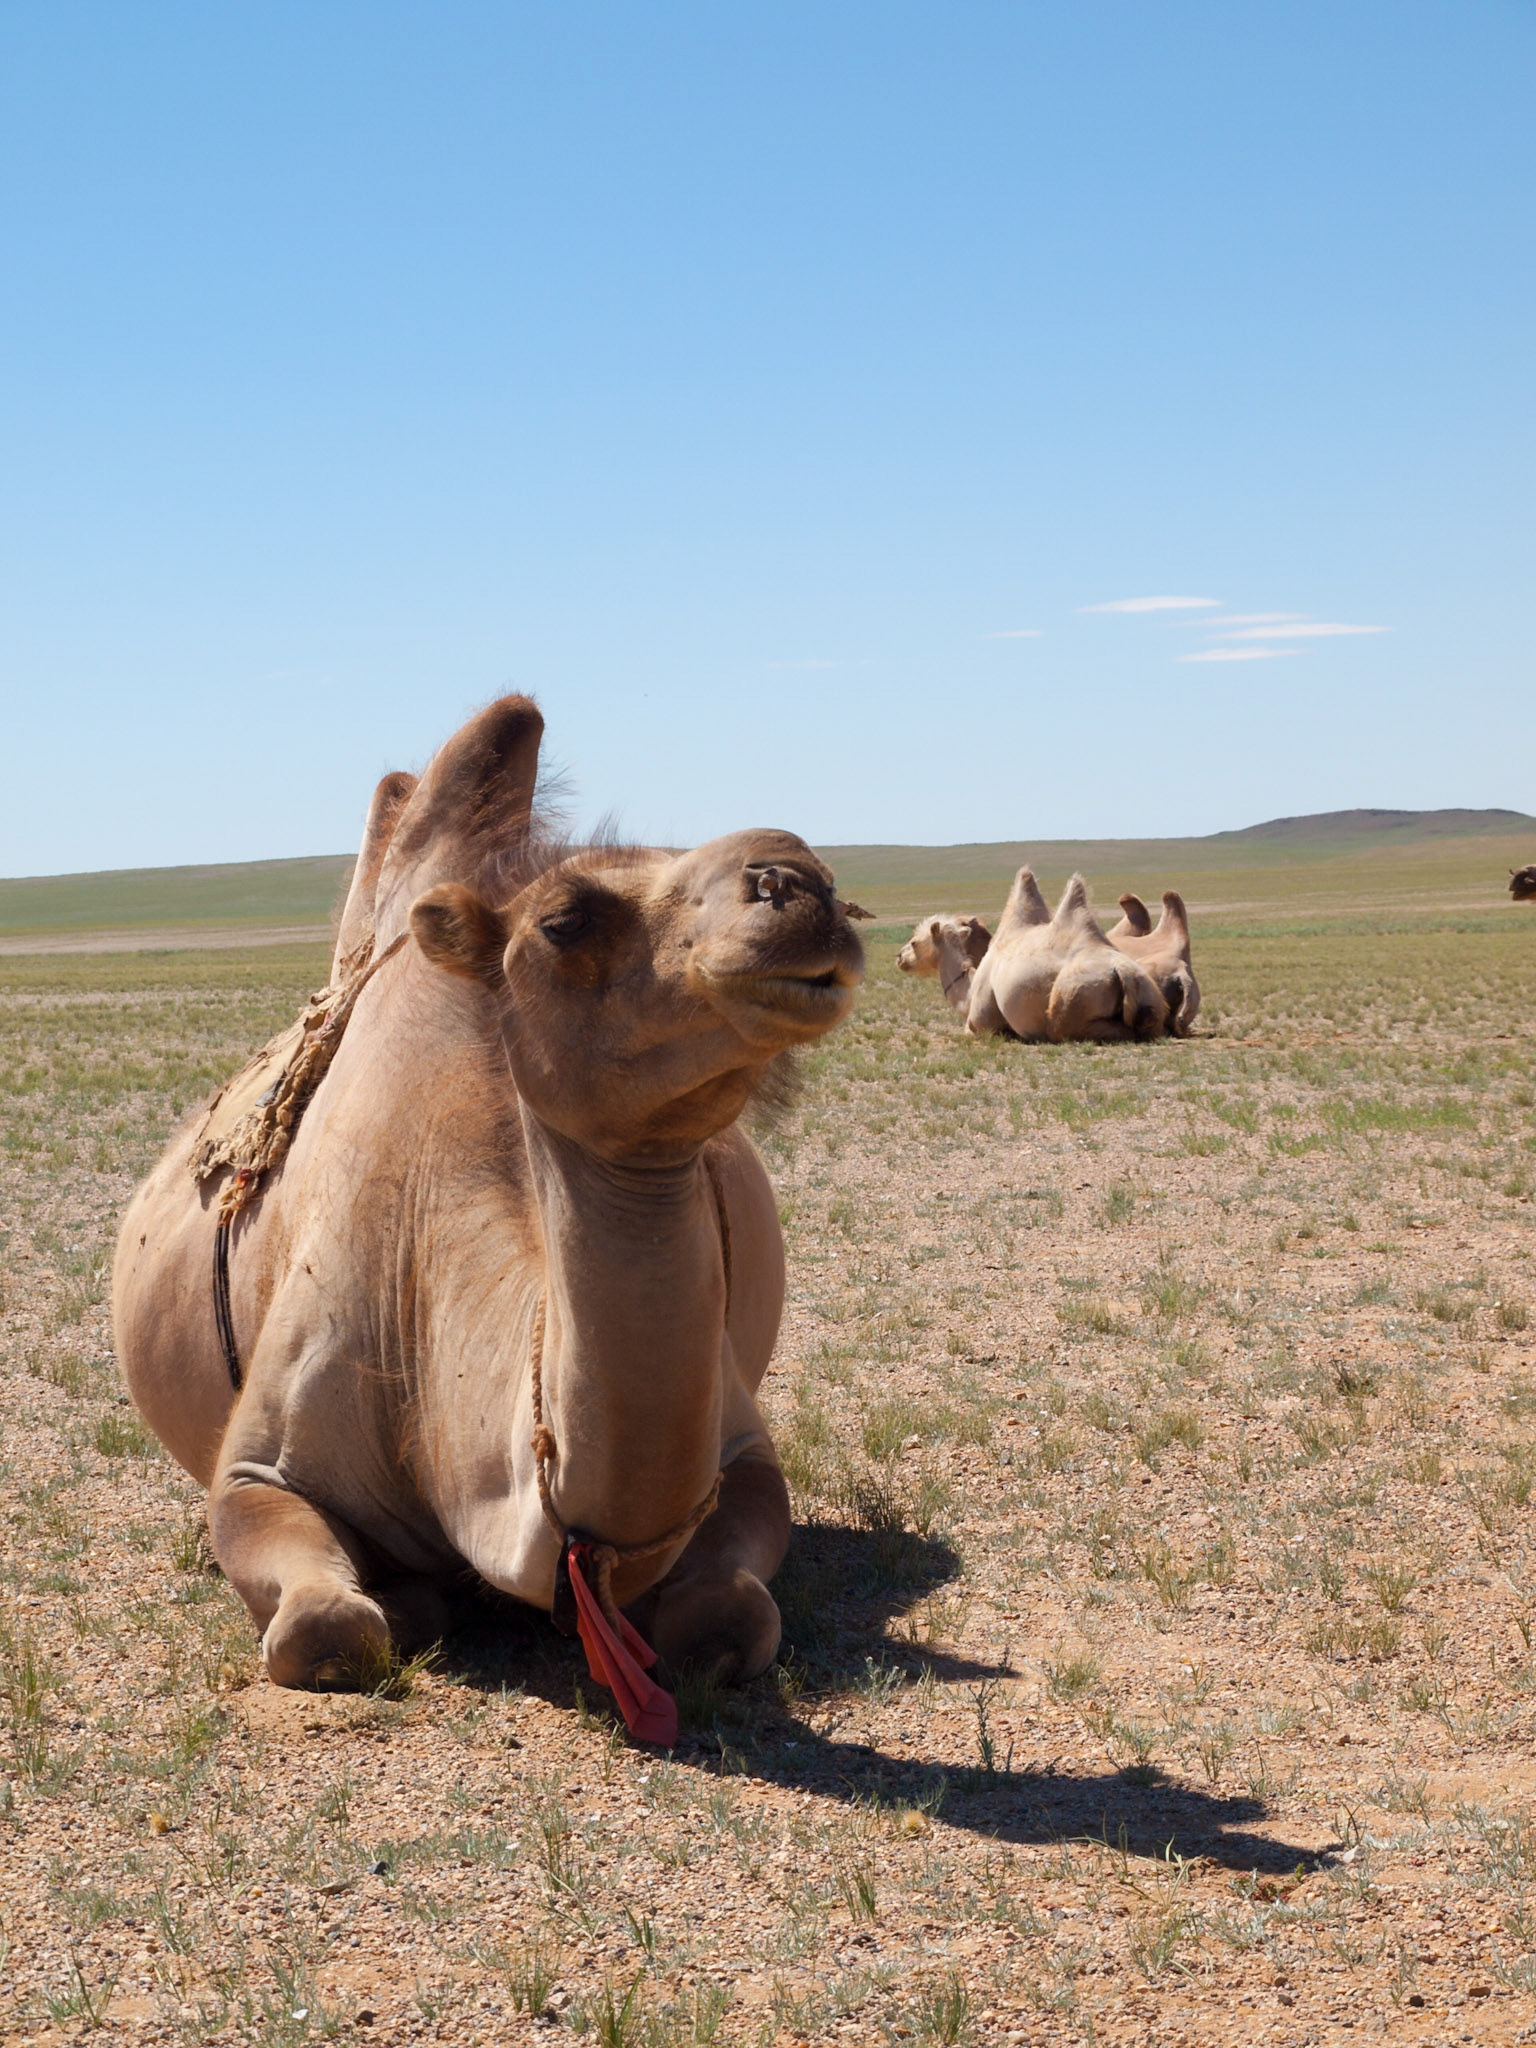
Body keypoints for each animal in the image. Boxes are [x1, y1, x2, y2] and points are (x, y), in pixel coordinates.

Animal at [114, 698, 865, 1717]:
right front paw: (408, 1599)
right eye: (564, 918)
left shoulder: (742, 1450)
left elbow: (729, 1617)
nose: (799, 878)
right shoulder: (258, 1463)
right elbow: (326, 1626)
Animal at [966, 869, 1167, 1042]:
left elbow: (974, 1027)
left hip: (1072, 997)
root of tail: (1124, 972)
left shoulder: (981, 1016)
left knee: (1063, 1028)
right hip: (1150, 991)